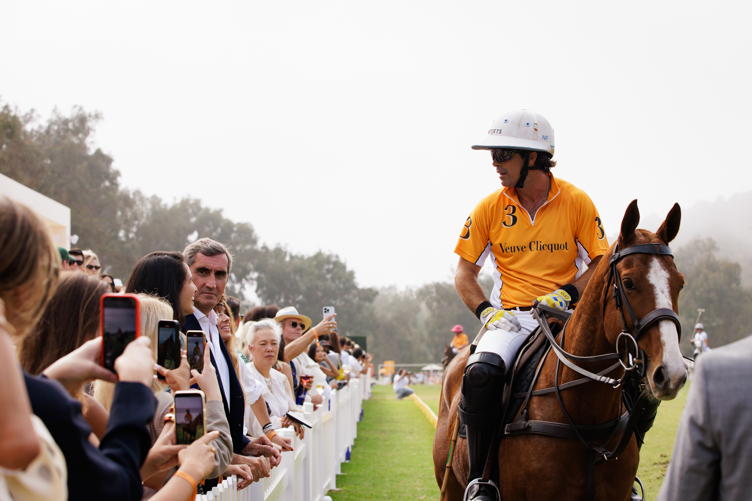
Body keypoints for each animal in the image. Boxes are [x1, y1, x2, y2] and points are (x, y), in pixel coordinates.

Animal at [434, 201, 688, 498]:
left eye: (680, 283)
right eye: (628, 282)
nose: (672, 372)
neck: (587, 416)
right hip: (449, 482)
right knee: (482, 373)